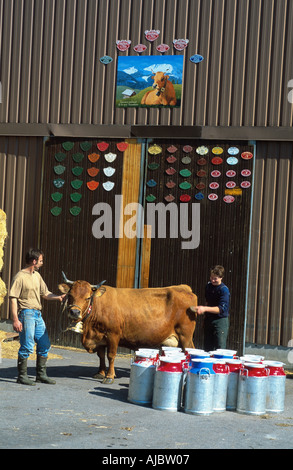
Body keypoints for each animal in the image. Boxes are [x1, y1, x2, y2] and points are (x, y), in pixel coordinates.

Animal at [58, 274, 196, 384]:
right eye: (70, 295)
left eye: (87, 297)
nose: (74, 312)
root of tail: (183, 287)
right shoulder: (99, 337)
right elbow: (101, 355)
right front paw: (100, 373)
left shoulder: (113, 335)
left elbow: (111, 355)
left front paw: (109, 376)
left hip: (185, 336)